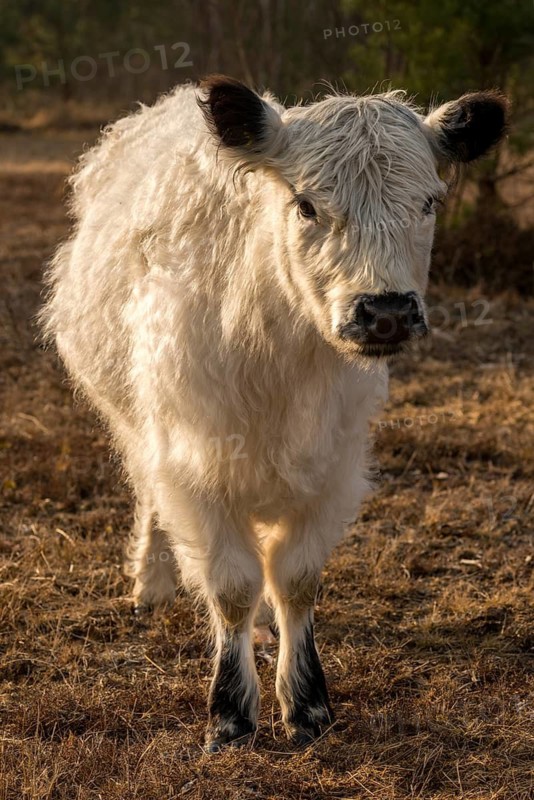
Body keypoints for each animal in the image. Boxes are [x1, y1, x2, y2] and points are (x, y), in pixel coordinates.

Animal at [40, 76, 508, 751]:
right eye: (306, 205)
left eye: (428, 203)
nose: (387, 311)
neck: (281, 356)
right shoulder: (194, 462)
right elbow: (230, 585)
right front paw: (230, 712)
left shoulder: (334, 466)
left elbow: (295, 578)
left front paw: (307, 703)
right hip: (138, 425)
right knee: (151, 499)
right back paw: (150, 584)